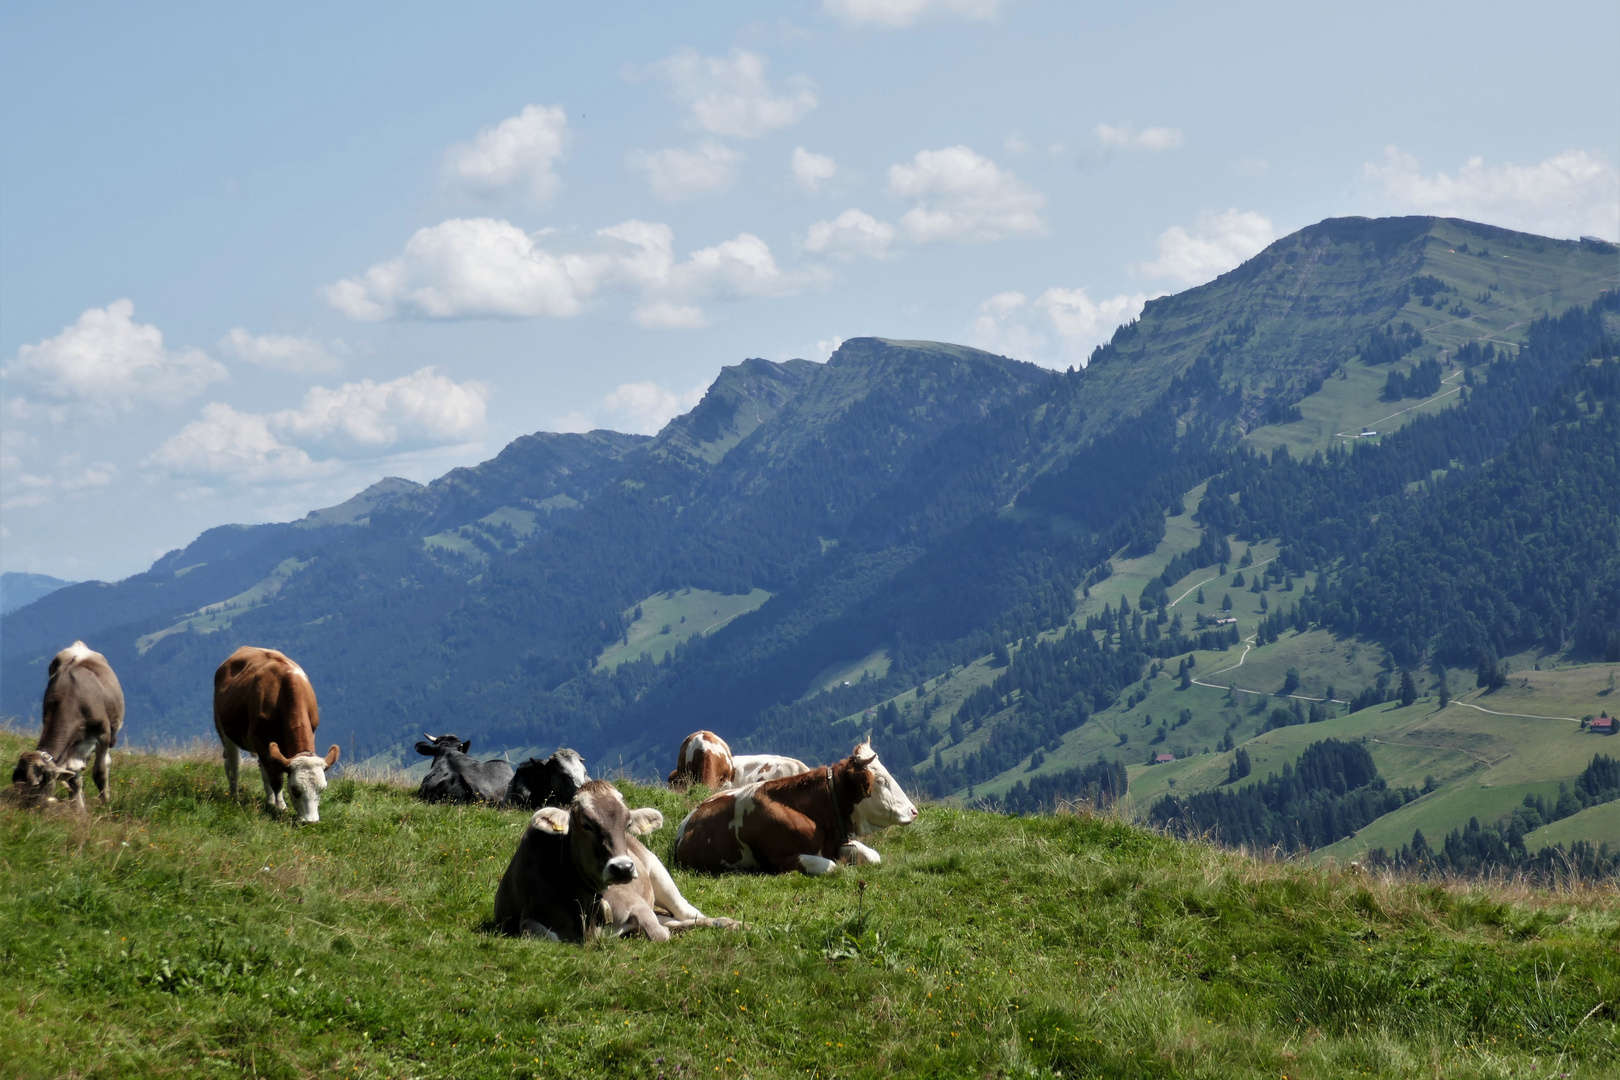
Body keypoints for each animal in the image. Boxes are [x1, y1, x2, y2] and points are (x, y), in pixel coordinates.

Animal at [9, 637, 124, 806]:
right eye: (15, 780)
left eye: (35, 784)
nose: (23, 808)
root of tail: (78, 645)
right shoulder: (71, 747)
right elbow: (74, 779)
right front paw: (79, 808)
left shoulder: (103, 735)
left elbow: (100, 773)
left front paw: (106, 805)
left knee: (105, 763)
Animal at [212, 647, 338, 822]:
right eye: (295, 789)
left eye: (322, 789)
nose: (311, 821)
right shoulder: (262, 741)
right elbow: (277, 780)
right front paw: (281, 807)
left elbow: (271, 774)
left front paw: (274, 803)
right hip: (224, 729)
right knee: (233, 764)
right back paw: (234, 796)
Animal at [492, 777, 741, 945]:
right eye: (586, 824)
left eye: (627, 823)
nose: (622, 868)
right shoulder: (528, 918)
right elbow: (546, 935)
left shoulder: (637, 903)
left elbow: (660, 934)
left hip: (659, 873)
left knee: (687, 914)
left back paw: (729, 922)